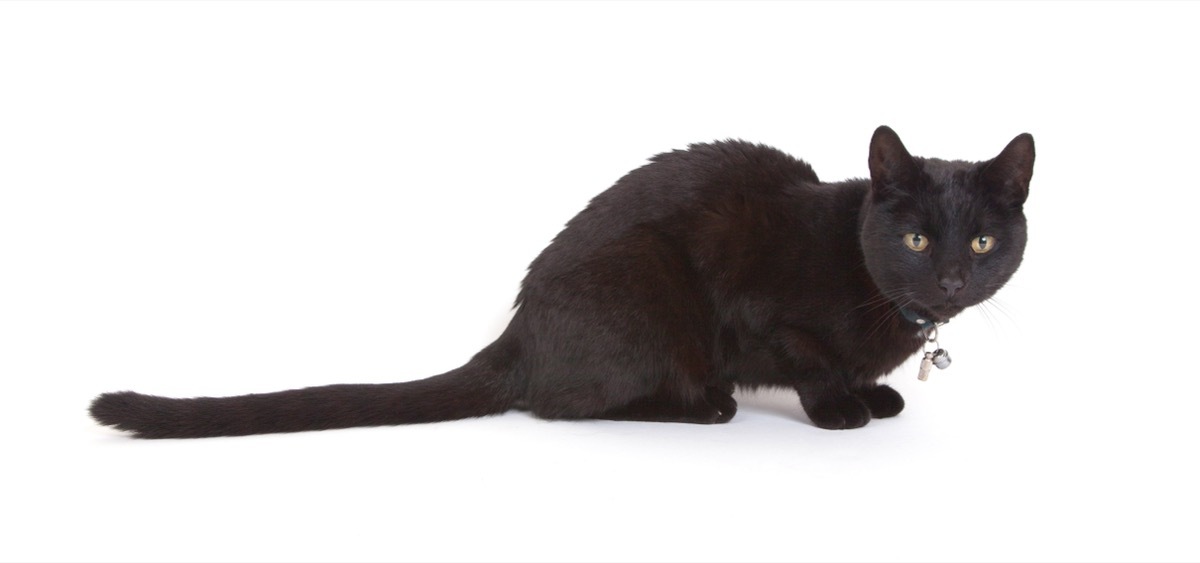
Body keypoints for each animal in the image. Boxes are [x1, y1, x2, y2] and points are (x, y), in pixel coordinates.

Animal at [91, 124, 1032, 436]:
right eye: (916, 237)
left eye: (984, 241)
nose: (952, 276)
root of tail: (517, 331)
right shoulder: (765, 313)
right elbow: (811, 364)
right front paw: (843, 407)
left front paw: (876, 394)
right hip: (649, 285)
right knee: (568, 402)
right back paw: (705, 406)